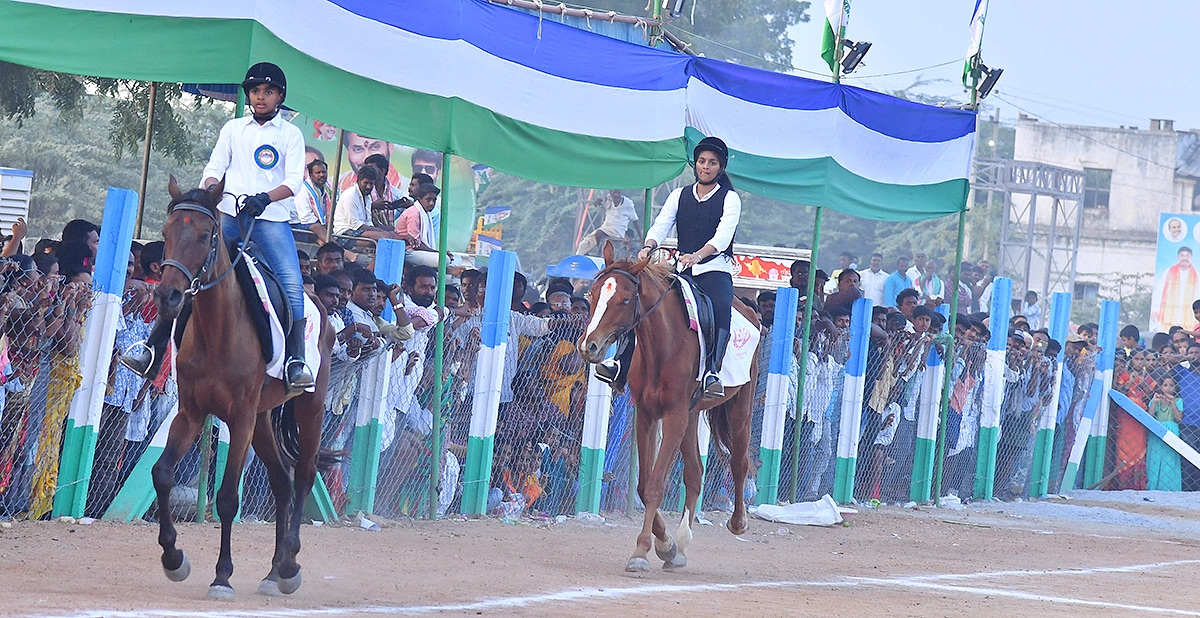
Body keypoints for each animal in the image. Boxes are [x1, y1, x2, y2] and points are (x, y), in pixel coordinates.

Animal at [152, 177, 338, 600]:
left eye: (204, 235)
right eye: (166, 233)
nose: (169, 296)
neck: (217, 328)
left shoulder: (238, 420)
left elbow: (226, 498)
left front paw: (222, 576)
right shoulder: (192, 413)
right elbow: (163, 473)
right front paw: (174, 559)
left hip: (310, 408)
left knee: (303, 476)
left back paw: (289, 565)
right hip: (263, 418)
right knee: (281, 482)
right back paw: (272, 572)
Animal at [576, 242, 753, 571]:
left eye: (624, 300)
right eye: (592, 295)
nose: (588, 346)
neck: (663, 343)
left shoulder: (673, 416)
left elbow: (656, 485)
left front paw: (641, 551)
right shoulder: (647, 415)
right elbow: (644, 485)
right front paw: (665, 543)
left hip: (739, 407)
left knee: (739, 462)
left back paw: (738, 522)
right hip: (692, 415)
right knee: (695, 472)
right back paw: (681, 544)